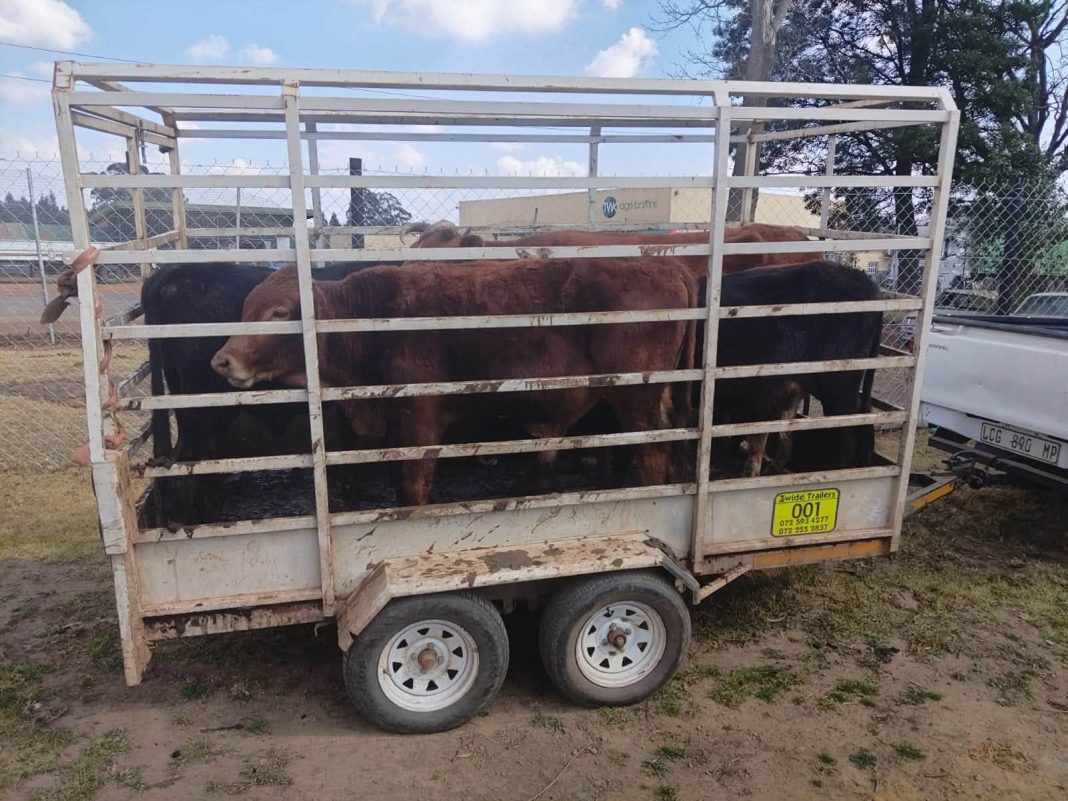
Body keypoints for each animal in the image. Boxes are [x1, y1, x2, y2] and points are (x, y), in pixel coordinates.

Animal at [211, 258, 698, 506]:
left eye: (279, 312)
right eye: (244, 309)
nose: (221, 361)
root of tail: (670, 268)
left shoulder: (421, 422)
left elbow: (414, 486)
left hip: (636, 398)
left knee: (652, 453)